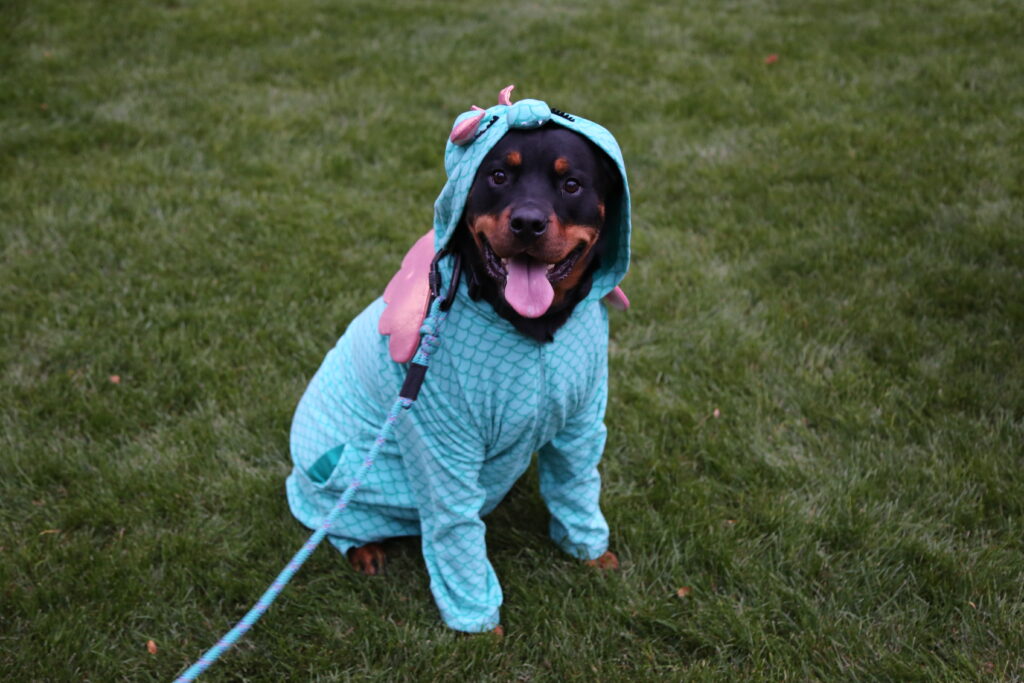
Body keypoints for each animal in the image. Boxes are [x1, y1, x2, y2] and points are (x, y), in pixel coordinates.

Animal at [284, 87, 626, 634]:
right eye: (498, 176)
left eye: (571, 183)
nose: (528, 222)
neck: (531, 329)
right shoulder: (440, 442)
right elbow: (454, 527)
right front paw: (480, 624)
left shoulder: (582, 422)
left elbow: (578, 485)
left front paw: (591, 553)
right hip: (344, 479)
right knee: (329, 521)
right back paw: (363, 549)